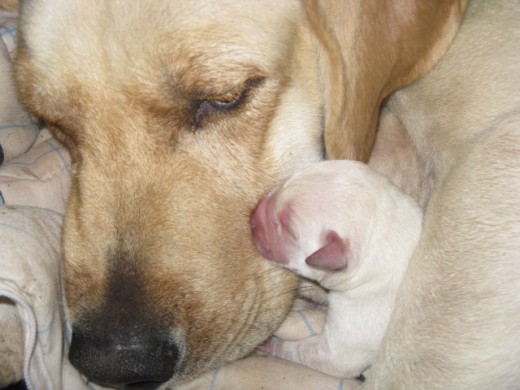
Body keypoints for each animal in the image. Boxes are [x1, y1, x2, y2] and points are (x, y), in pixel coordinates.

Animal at [251, 161, 422, 378]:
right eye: (284, 183)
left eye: (288, 227)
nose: (252, 217)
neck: (381, 238)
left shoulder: (350, 334)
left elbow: (312, 354)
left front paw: (272, 345)